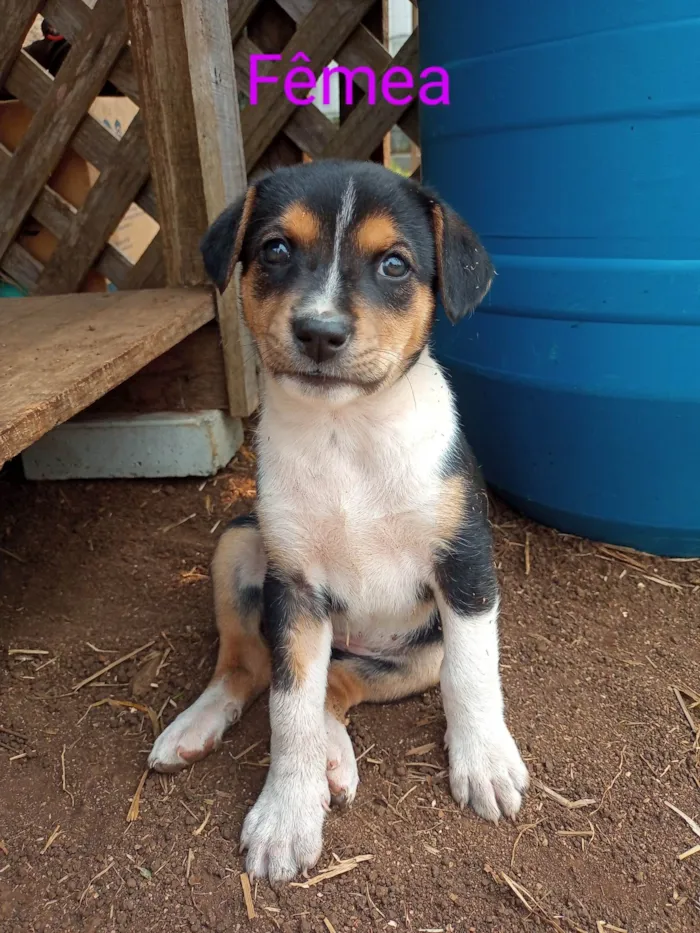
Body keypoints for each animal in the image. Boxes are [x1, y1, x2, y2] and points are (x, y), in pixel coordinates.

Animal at [150, 158, 528, 880]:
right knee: (255, 668)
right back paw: (196, 729)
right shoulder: (294, 589)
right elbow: (288, 708)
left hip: (419, 652)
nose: (320, 333)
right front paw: (285, 818)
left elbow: (474, 676)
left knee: (340, 685)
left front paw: (486, 764)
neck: (347, 432)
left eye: (395, 265)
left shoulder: (466, 567)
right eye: (275, 249)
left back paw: (335, 758)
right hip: (238, 544)